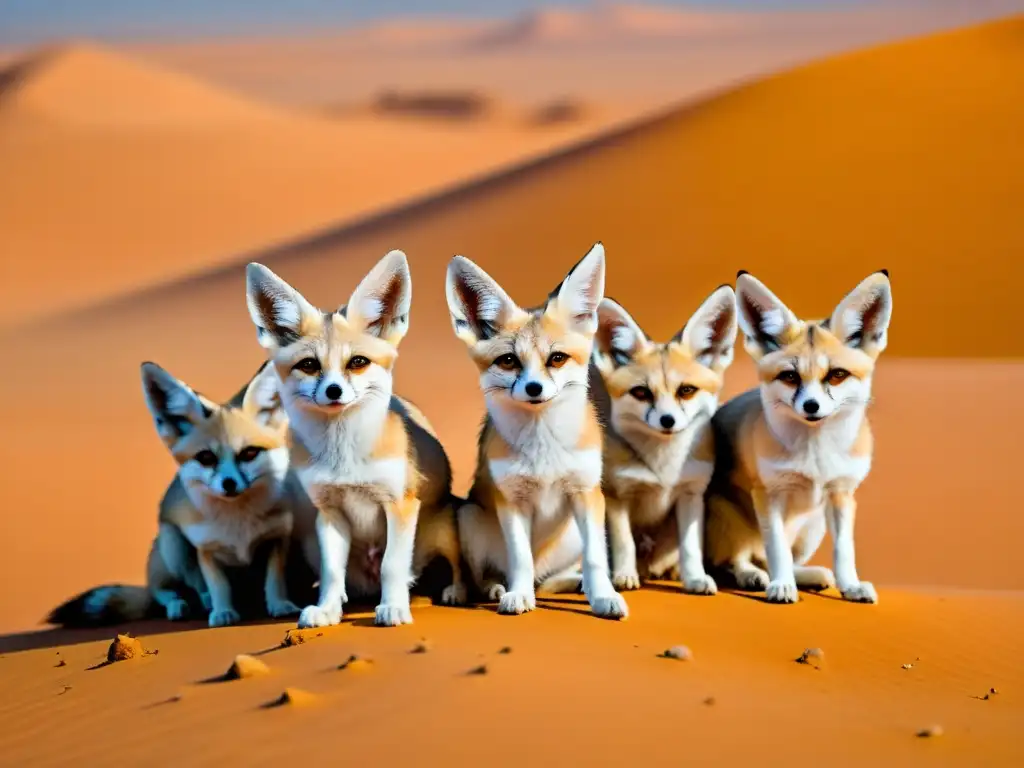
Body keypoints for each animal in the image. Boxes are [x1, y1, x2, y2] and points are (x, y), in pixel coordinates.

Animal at [48, 360, 317, 630]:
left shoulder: (277, 537)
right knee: (163, 592)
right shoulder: (204, 548)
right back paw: (184, 605)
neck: (238, 526)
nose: (229, 484)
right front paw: (222, 612)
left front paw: (279, 605)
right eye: (206, 457)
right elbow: (218, 585)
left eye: (249, 453)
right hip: (172, 544)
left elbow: (274, 580)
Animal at [243, 252, 464, 630]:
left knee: (454, 568)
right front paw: (327, 611)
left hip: (444, 531)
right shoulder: (330, 512)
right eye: (309, 365)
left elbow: (392, 565)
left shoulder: (400, 504)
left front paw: (393, 607)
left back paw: (454, 592)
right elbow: (333, 574)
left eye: (357, 362)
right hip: (313, 543)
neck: (344, 458)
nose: (334, 391)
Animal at [450, 243, 630, 622]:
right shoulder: (511, 500)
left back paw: (572, 584)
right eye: (508, 361)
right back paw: (494, 589)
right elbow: (520, 559)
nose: (534, 388)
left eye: (557, 358)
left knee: (549, 579)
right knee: (487, 576)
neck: (543, 449)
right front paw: (518, 595)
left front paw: (603, 597)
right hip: (469, 518)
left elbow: (596, 560)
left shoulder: (586, 492)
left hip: (573, 532)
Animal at [593, 288, 737, 593]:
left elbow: (691, 548)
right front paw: (624, 575)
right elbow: (625, 543)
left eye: (686, 390)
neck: (664, 469)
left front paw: (695, 579)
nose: (667, 421)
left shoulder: (691, 494)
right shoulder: (616, 497)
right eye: (641, 393)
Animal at [704, 272, 897, 606]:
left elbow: (843, 552)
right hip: (725, 515)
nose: (811, 406)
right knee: (736, 559)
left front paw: (850, 586)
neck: (816, 456)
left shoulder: (841, 494)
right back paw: (754, 576)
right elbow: (777, 550)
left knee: (775, 560)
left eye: (837, 375)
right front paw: (782, 585)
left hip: (813, 525)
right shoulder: (768, 495)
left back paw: (809, 577)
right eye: (790, 377)